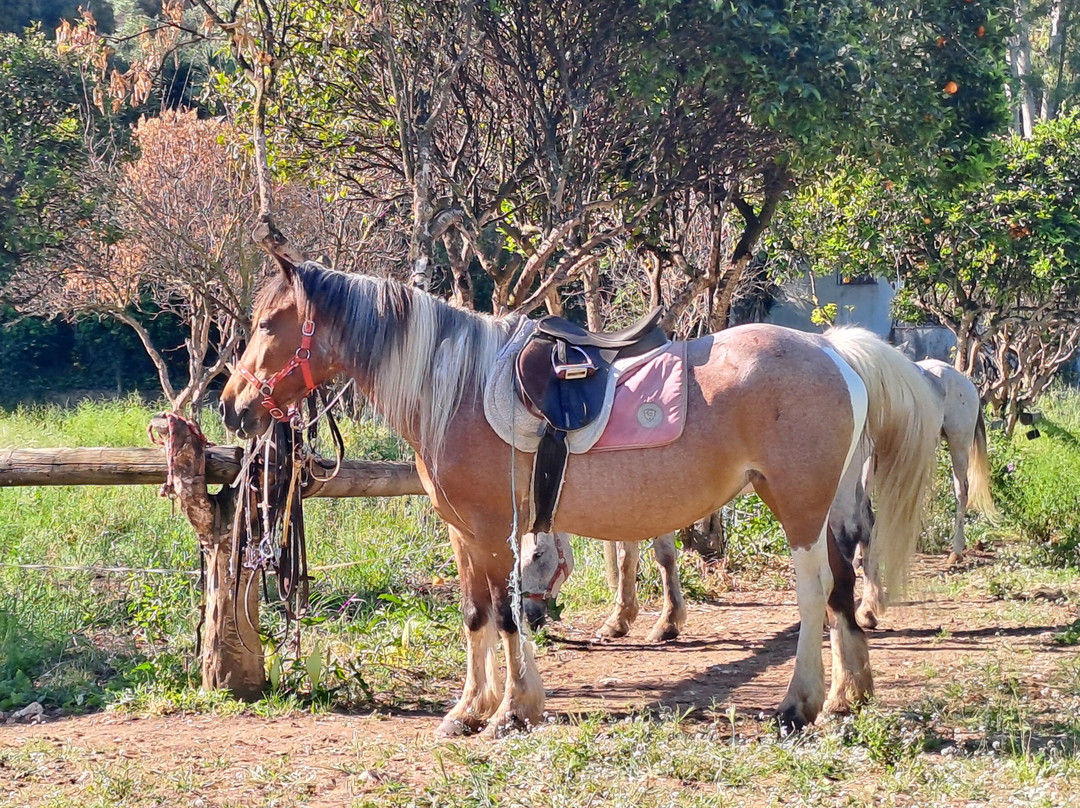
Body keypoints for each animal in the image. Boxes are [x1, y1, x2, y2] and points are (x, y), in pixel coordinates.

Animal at [219, 259, 941, 735]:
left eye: (271, 323)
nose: (231, 406)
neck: (455, 389)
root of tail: (832, 350)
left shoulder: (492, 530)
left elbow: (506, 614)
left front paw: (513, 711)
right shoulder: (463, 533)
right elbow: (476, 616)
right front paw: (471, 709)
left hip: (798, 509)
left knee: (815, 592)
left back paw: (799, 704)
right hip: (827, 507)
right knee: (844, 588)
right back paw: (848, 695)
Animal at [524, 358, 996, 639]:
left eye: (535, 556)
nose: (531, 618)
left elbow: (642, 555)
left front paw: (642, 620)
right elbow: (646, 555)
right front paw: (645, 619)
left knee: (907, 511)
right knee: (862, 530)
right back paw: (865, 605)